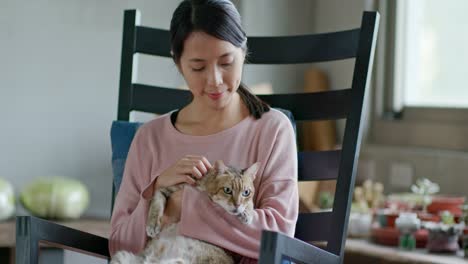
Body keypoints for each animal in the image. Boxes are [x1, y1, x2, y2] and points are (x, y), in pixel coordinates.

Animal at [112, 160, 262, 262]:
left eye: (246, 192)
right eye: (227, 190)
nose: (237, 205)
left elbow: (251, 204)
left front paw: (247, 213)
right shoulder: (164, 190)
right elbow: (156, 204)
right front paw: (152, 225)